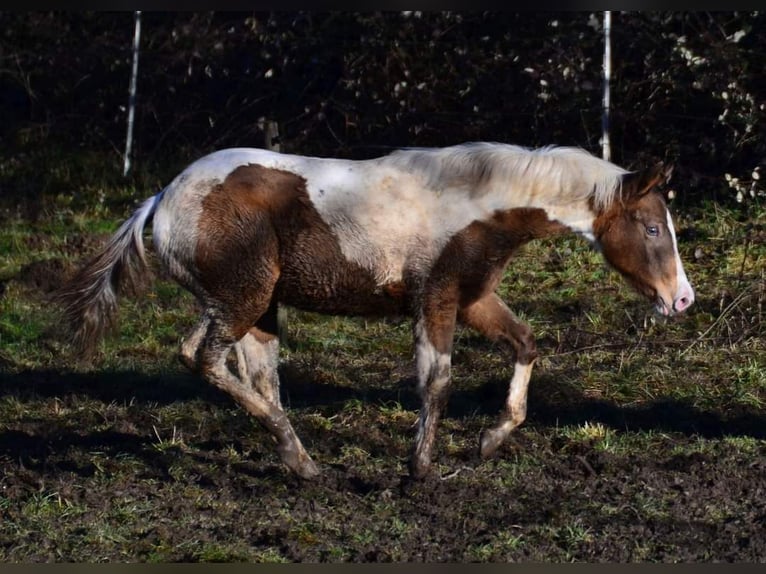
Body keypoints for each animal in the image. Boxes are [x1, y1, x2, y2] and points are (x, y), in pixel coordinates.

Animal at [55, 142, 695, 480]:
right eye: (652, 227)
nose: (682, 299)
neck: (479, 203)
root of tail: (162, 198)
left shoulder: (473, 299)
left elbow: (525, 343)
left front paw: (490, 441)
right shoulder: (435, 298)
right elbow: (436, 382)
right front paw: (422, 468)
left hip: (254, 307)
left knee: (256, 376)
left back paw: (301, 461)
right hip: (243, 299)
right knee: (201, 357)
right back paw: (296, 455)